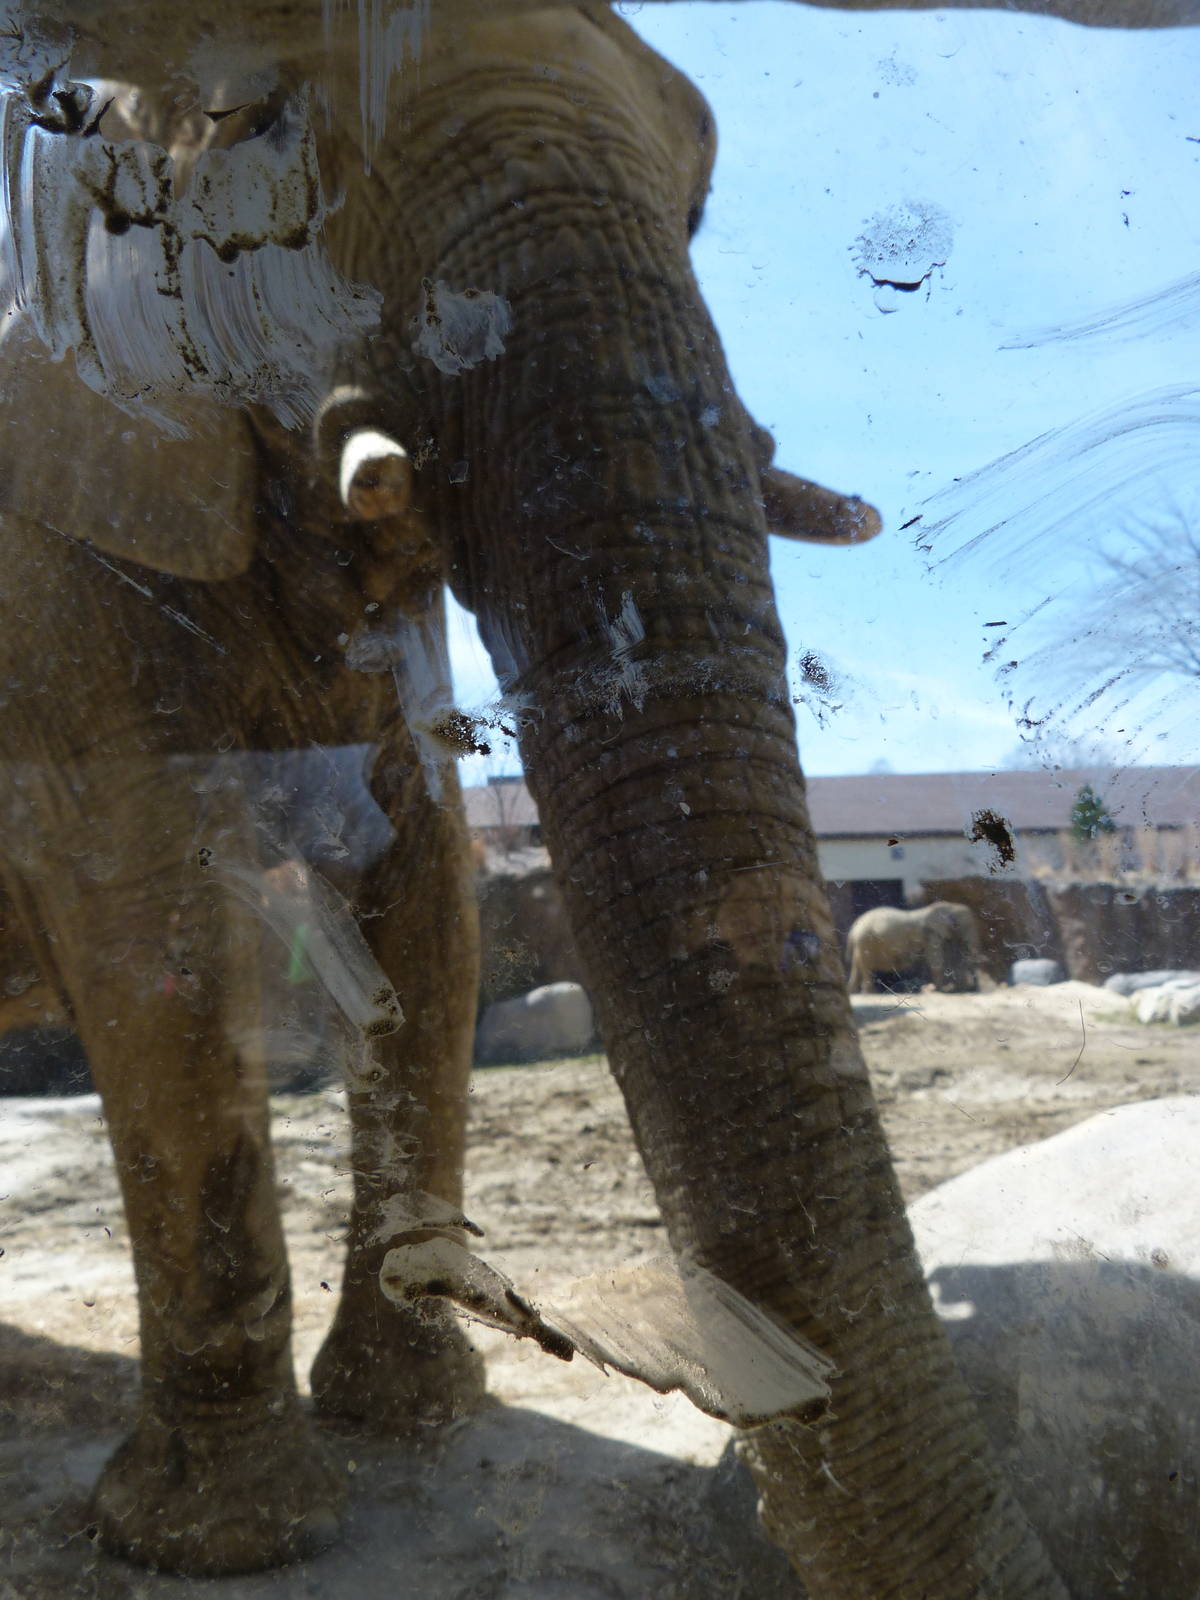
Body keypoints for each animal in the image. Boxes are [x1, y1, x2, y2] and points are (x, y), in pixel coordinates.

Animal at [847, 901, 983, 995]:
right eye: (963, 926)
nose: (973, 989)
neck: (949, 906)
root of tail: (853, 929)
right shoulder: (932, 934)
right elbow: (936, 959)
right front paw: (940, 990)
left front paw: (953, 989)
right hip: (865, 941)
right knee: (866, 966)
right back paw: (870, 993)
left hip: (862, 943)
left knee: (857, 966)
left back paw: (853, 992)